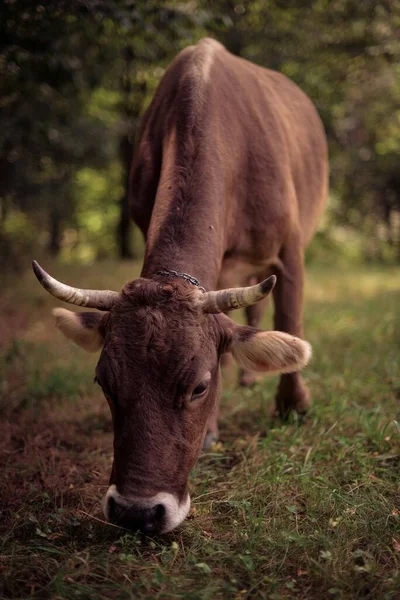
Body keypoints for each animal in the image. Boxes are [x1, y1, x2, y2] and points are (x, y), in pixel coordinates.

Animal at [32, 38, 328, 536]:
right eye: (103, 382)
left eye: (198, 388)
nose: (136, 511)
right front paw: (211, 430)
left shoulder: (289, 251)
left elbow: (290, 319)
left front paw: (293, 406)